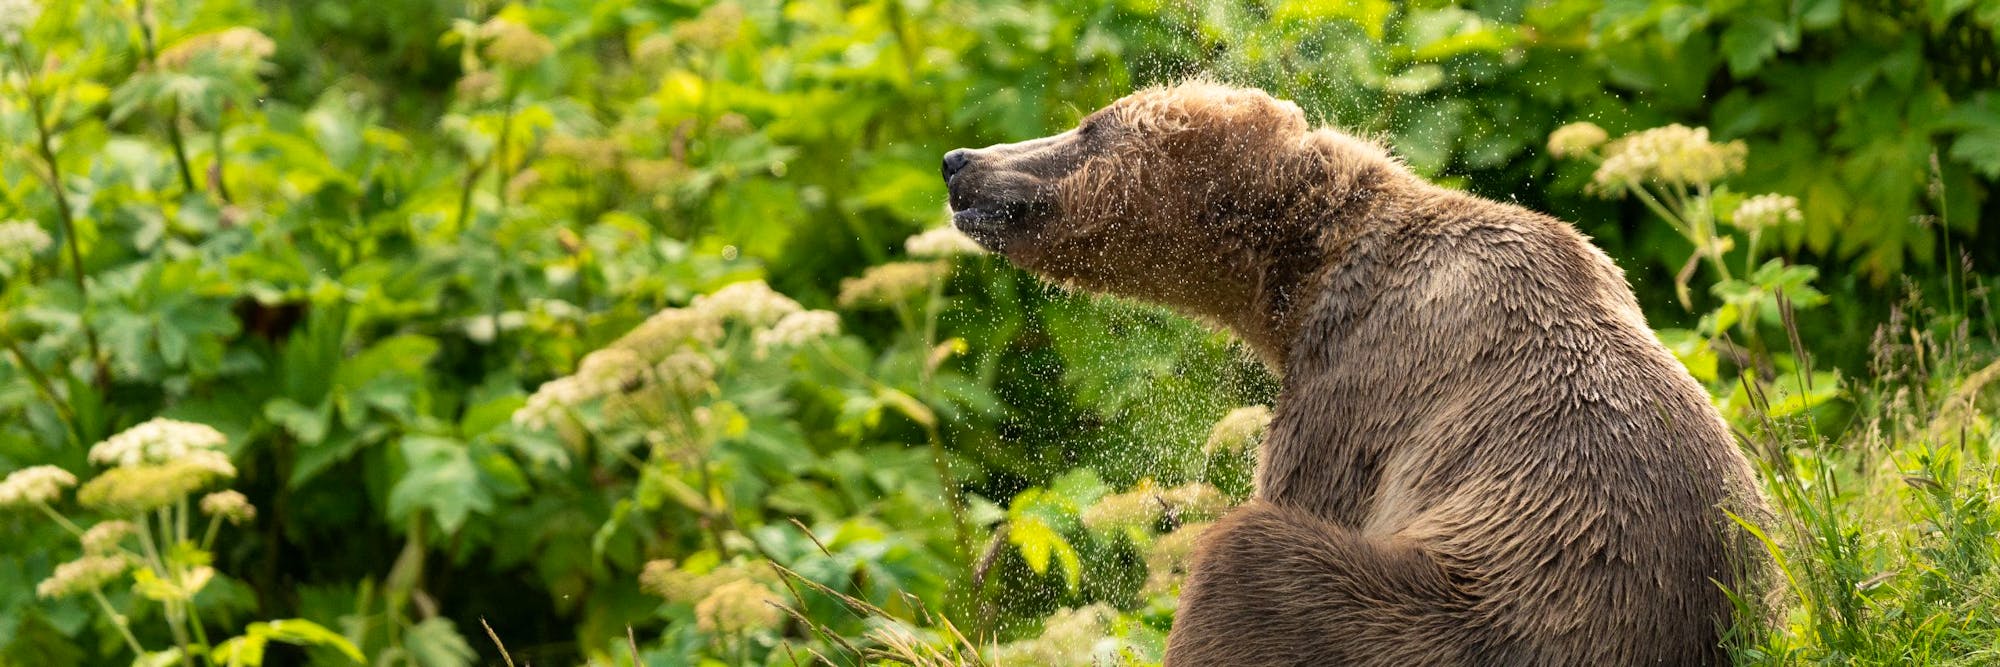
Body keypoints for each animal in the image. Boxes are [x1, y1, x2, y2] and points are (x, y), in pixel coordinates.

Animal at [941, 80, 1772, 666]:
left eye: (1090, 126)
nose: (960, 162)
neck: (1301, 275)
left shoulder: (1358, 380)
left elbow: (1301, 490)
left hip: (1460, 613)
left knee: (1248, 562)